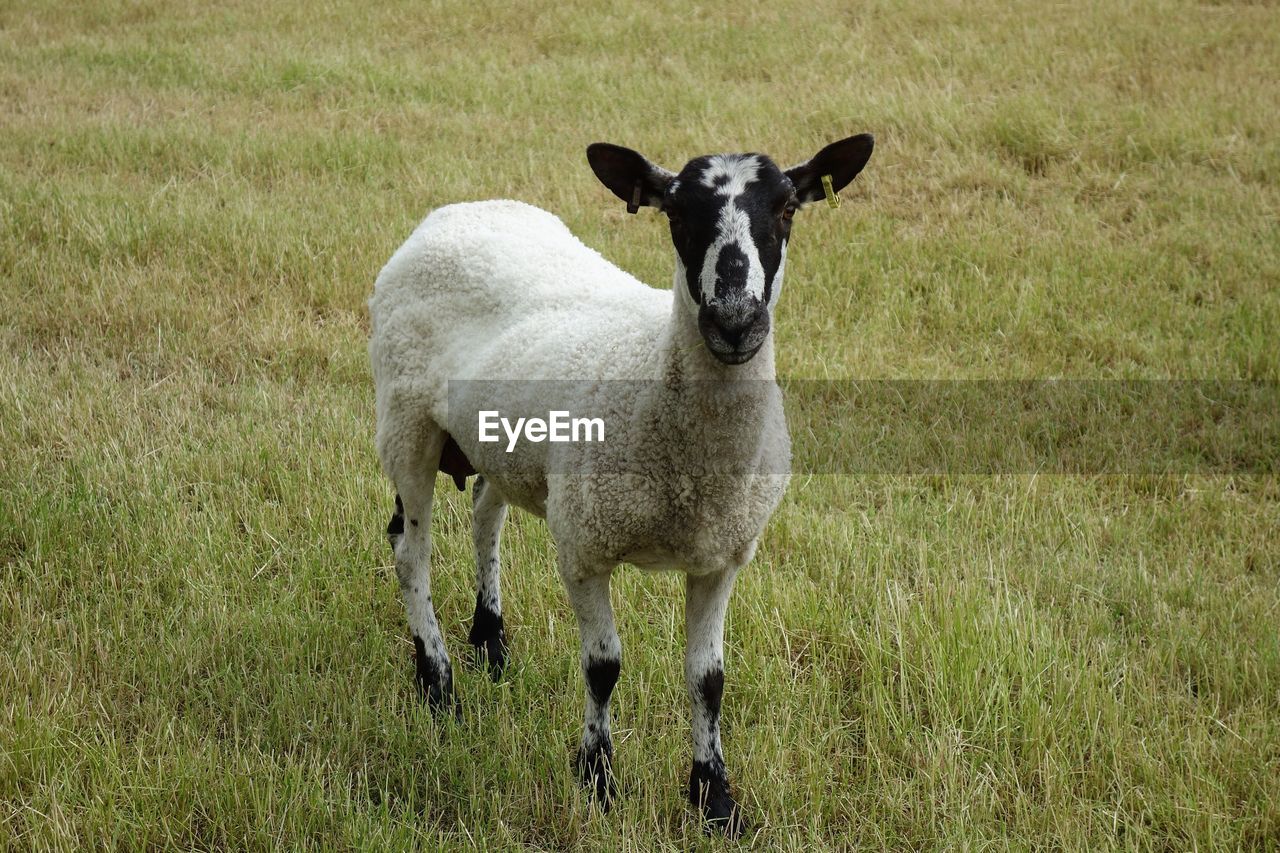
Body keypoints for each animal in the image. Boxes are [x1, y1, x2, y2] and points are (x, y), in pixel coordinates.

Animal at [366, 133, 875, 829]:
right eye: (676, 213)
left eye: (788, 207)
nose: (735, 322)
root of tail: (456, 211)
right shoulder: (583, 547)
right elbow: (603, 666)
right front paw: (598, 779)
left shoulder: (722, 557)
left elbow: (708, 679)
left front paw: (715, 798)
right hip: (406, 420)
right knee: (409, 550)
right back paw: (438, 685)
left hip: (499, 437)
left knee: (485, 512)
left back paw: (490, 644)